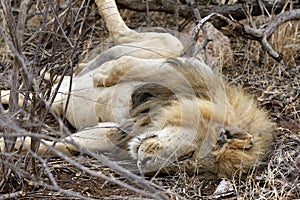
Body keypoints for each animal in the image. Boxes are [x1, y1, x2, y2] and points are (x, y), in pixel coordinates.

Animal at [0, 0, 274, 178]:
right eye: (190, 153)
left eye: (182, 163)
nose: (144, 162)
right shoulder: (189, 70)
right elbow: (139, 67)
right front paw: (105, 75)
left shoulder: (115, 131)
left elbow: (64, 144)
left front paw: (12, 145)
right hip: (165, 43)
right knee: (126, 35)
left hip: (53, 97)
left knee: (30, 93)